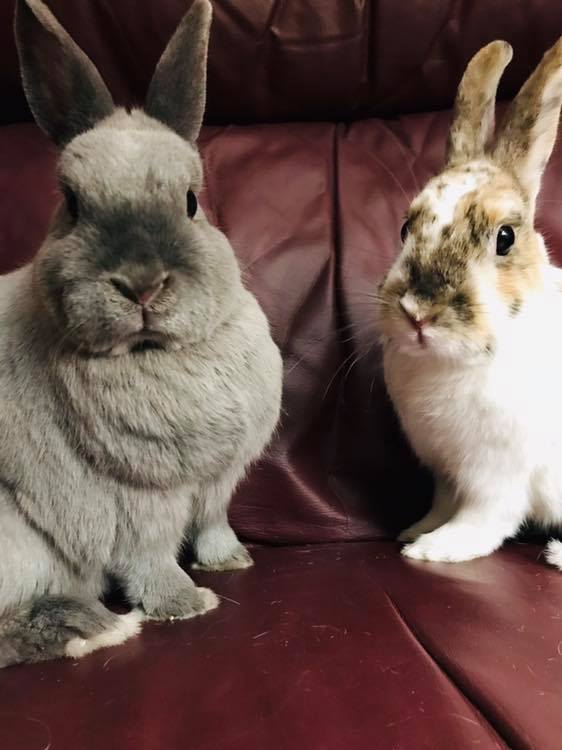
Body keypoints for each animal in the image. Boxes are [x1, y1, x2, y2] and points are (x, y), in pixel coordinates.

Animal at [0, 0, 282, 667]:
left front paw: (233, 563)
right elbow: (151, 559)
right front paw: (189, 605)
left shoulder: (215, 486)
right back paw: (90, 627)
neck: (160, 353)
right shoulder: (136, 501)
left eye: (191, 201)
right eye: (72, 204)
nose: (141, 284)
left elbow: (213, 525)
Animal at [377, 38, 562, 566]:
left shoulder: (497, 474)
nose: (418, 313)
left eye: (505, 238)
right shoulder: (444, 468)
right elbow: (442, 503)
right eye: (405, 228)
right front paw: (416, 530)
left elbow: (484, 518)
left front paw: (434, 550)